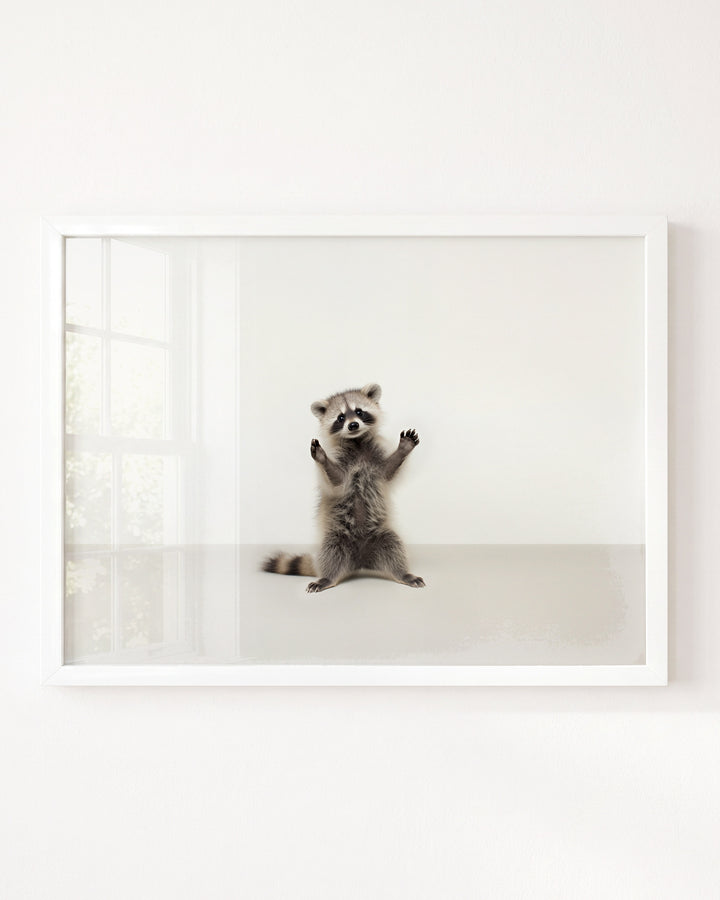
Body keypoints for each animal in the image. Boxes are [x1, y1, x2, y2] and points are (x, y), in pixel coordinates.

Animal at [262, 383, 425, 593]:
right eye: (340, 418)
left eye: (359, 412)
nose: (353, 425)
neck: (357, 442)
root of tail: (360, 562)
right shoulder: (340, 459)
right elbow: (337, 481)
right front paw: (322, 459)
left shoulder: (375, 457)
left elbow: (388, 472)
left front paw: (403, 449)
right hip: (336, 537)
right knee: (331, 553)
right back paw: (327, 578)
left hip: (381, 535)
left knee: (394, 546)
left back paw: (403, 573)